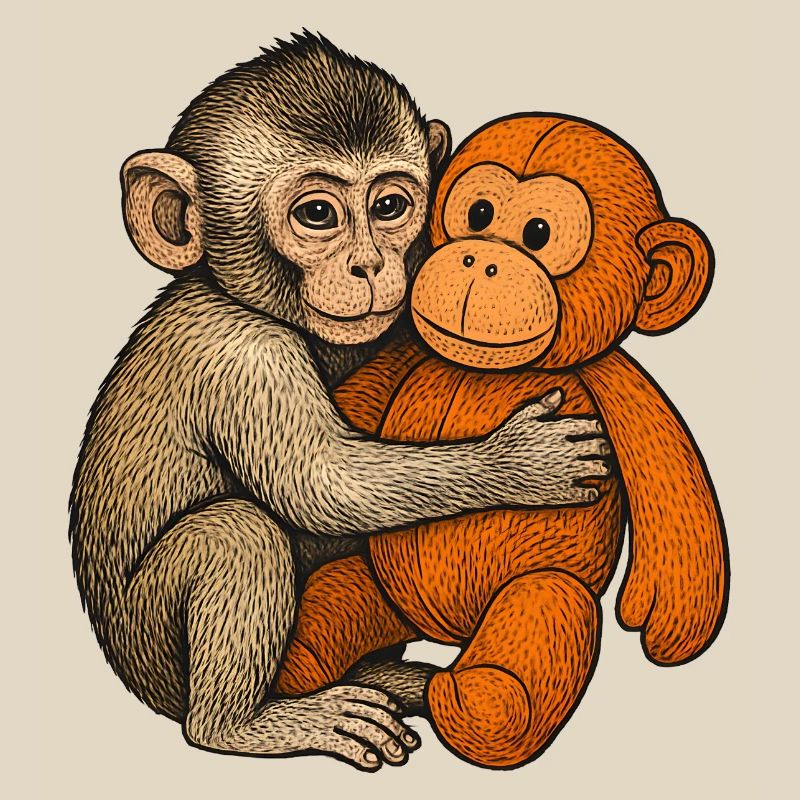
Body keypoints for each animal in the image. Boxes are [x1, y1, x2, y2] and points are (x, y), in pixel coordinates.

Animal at [69, 37, 610, 771]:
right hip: (154, 652)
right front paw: (517, 463)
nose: (369, 265)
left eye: (389, 206)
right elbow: (322, 485)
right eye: (317, 215)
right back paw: (243, 724)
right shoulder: (247, 356)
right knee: (237, 532)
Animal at [272, 113, 729, 768]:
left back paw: (461, 693)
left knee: (533, 637)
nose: (475, 258)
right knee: (325, 611)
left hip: (538, 596)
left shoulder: (618, 384)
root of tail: (445, 635)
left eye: (539, 232)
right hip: (378, 589)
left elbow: (672, 490)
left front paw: (667, 621)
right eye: (479, 212)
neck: (484, 371)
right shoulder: (405, 355)